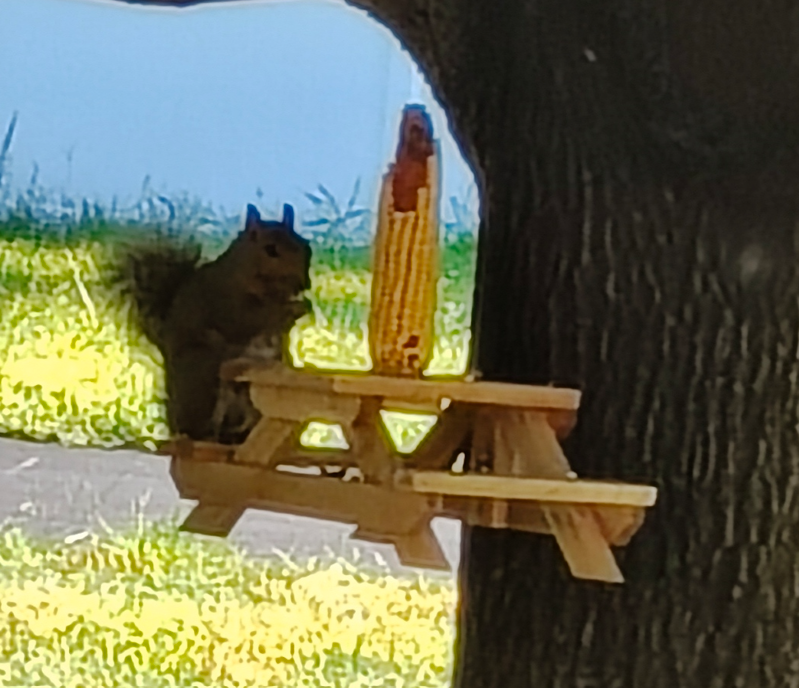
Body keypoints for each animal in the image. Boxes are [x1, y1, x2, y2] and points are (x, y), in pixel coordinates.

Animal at [116, 202, 312, 445]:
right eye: (271, 250)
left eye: (306, 246)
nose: (303, 285)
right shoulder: (226, 303)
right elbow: (249, 320)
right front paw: (294, 306)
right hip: (204, 376)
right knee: (200, 426)